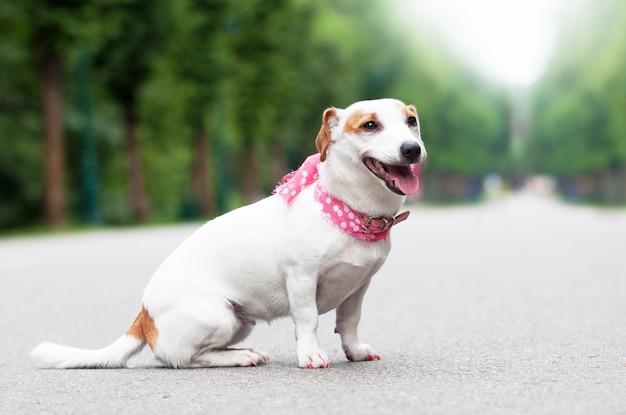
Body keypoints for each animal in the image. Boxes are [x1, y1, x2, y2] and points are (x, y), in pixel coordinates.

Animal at [31, 98, 426, 370]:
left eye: (411, 121)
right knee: (183, 358)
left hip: (237, 322)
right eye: (370, 125)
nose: (413, 149)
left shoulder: (358, 286)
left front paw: (354, 351)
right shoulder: (301, 279)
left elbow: (349, 322)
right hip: (219, 316)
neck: (349, 210)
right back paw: (239, 357)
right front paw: (310, 354)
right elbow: (308, 320)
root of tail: (143, 316)